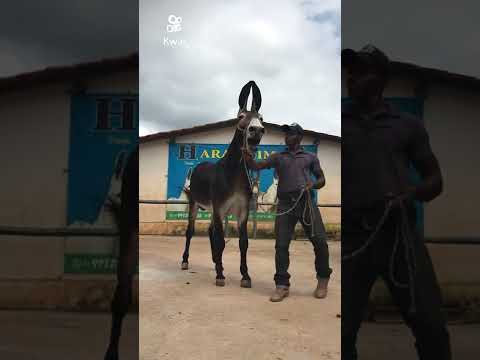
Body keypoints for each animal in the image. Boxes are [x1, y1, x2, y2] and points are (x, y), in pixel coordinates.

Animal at [181, 81, 266, 286]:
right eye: (241, 117)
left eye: (261, 118)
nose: (257, 131)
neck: (233, 173)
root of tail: (200, 165)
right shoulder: (220, 209)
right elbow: (220, 240)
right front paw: (220, 275)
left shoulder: (242, 212)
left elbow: (243, 242)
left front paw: (245, 275)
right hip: (195, 204)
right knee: (190, 231)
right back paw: (186, 261)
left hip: (212, 210)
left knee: (210, 230)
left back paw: (215, 260)